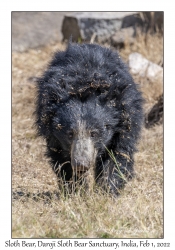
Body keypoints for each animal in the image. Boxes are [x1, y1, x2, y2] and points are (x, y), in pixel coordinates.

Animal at [34, 42, 143, 195]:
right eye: (69, 134)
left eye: (94, 134)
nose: (81, 164)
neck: (84, 87)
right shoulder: (50, 128)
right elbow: (62, 159)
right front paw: (76, 191)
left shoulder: (126, 117)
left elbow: (118, 153)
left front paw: (107, 191)